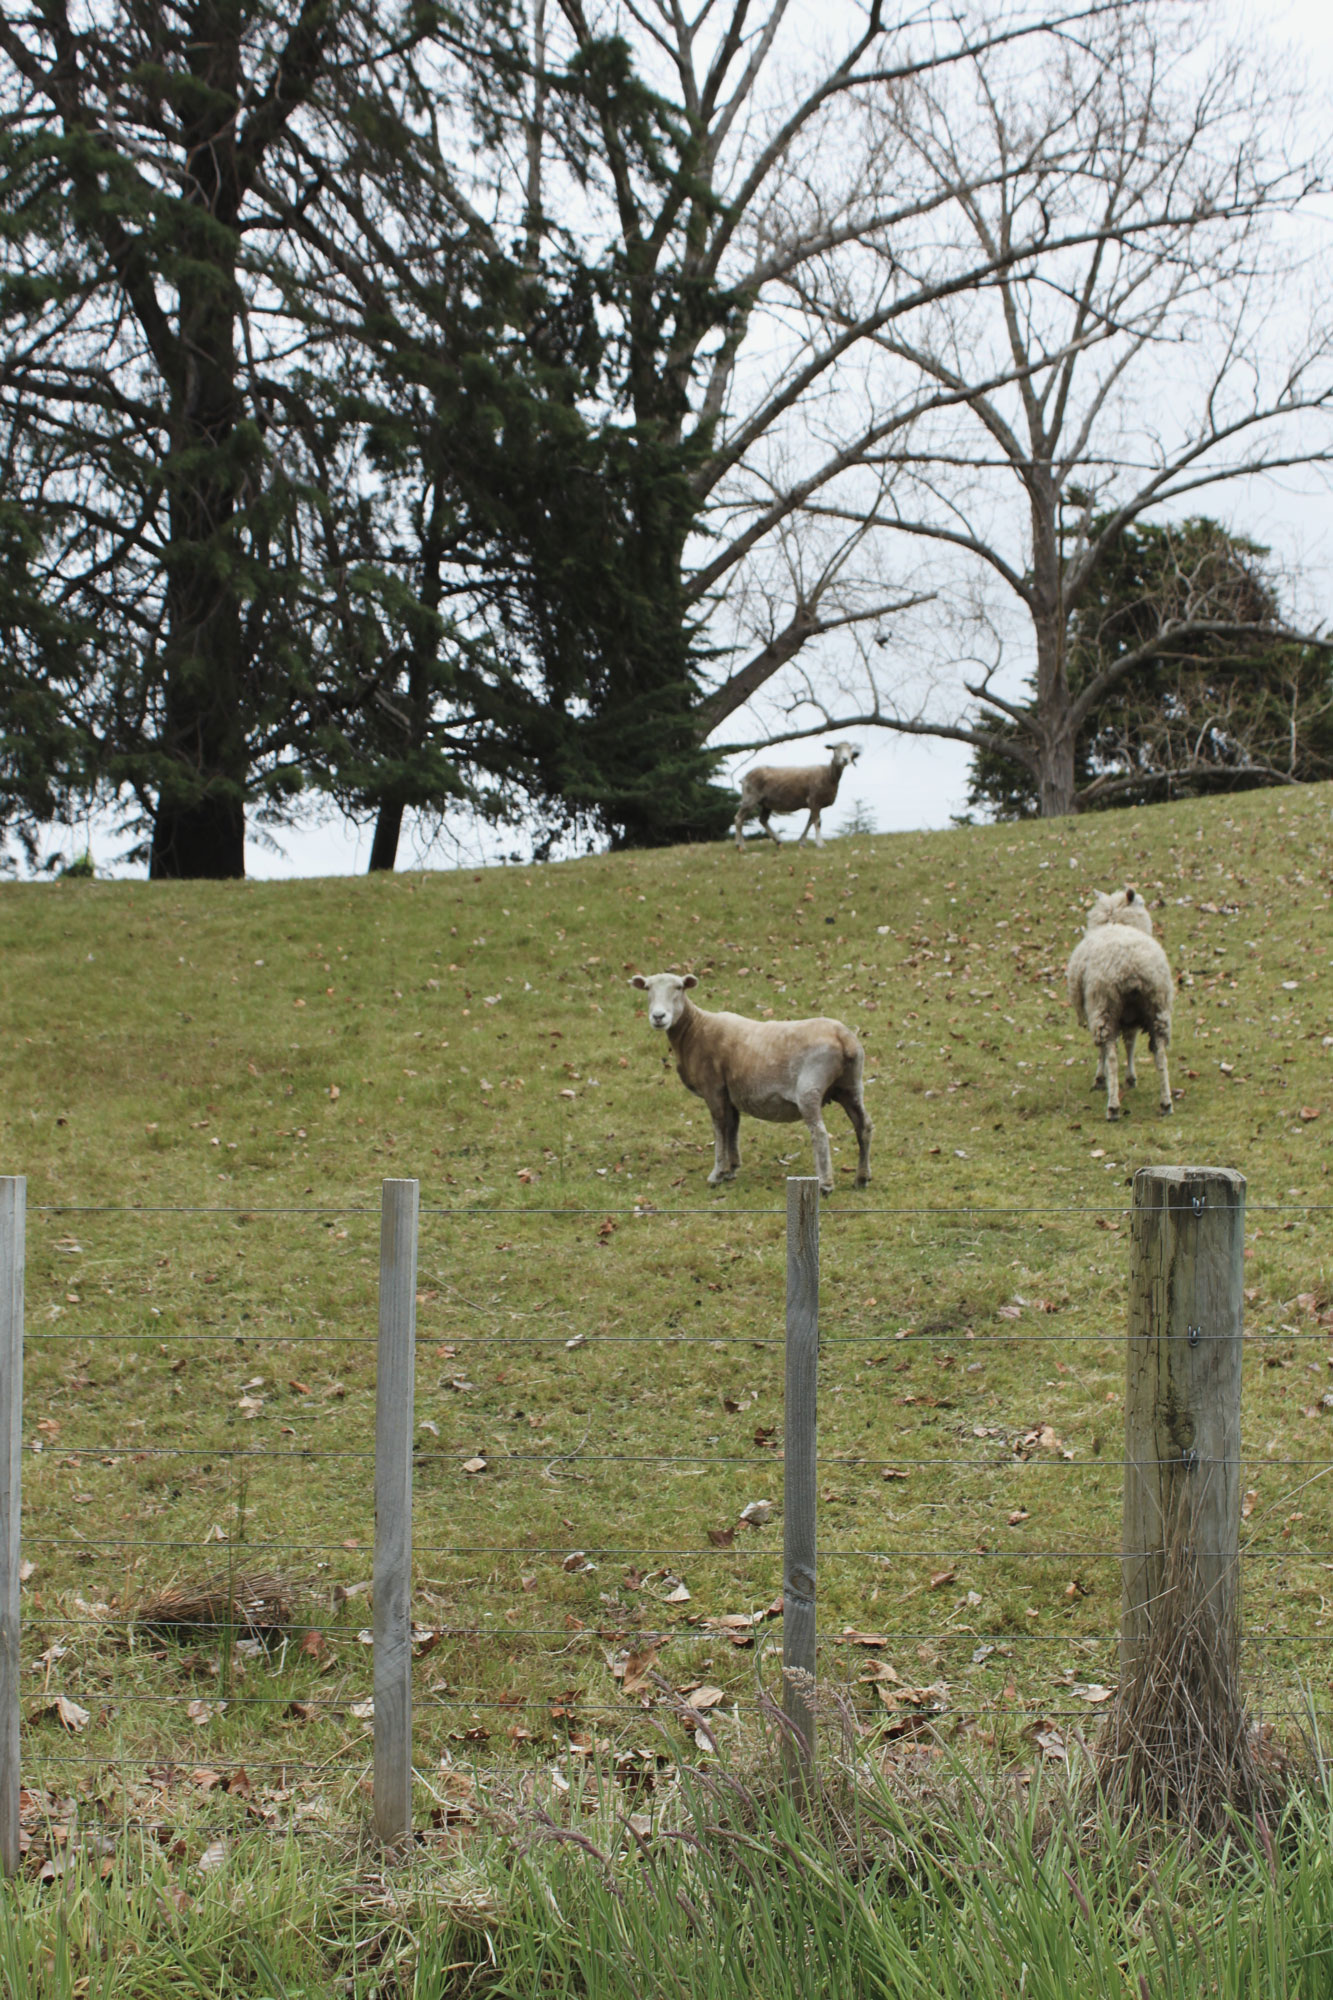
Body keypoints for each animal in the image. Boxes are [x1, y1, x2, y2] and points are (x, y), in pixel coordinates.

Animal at [629, 971, 872, 1193]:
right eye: (648, 988)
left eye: (679, 987)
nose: (658, 1016)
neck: (694, 1030)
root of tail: (844, 1038)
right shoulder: (731, 1092)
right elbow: (732, 1127)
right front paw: (732, 1169)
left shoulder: (713, 1087)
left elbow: (719, 1128)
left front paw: (717, 1173)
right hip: (851, 1085)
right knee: (864, 1126)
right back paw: (862, 1178)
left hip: (809, 1088)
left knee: (820, 1133)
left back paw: (825, 1184)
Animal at [1065, 887, 1174, 1121]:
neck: (1117, 922)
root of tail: (1131, 966)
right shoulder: (1130, 1016)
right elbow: (1130, 1043)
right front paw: (1131, 1078)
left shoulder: (1096, 1009)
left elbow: (1104, 1052)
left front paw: (1100, 1078)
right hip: (1157, 1007)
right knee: (1161, 1053)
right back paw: (1166, 1103)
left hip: (1104, 1006)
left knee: (1112, 1055)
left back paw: (1113, 1106)